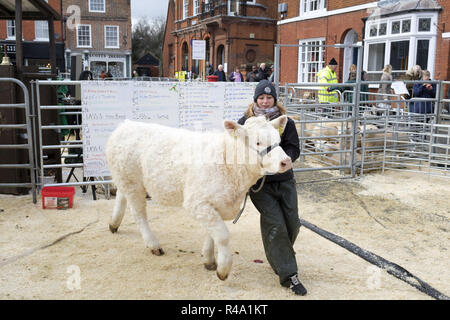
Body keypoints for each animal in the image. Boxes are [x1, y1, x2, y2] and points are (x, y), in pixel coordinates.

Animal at [104, 115, 292, 280]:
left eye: (279, 139)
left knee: (120, 196)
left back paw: (114, 223)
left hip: (125, 179)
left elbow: (212, 233)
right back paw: (153, 244)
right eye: (258, 142)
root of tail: (126, 125)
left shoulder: (215, 204)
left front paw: (209, 260)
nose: (286, 161)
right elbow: (222, 235)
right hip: (132, 181)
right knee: (139, 214)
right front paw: (223, 269)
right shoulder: (196, 203)